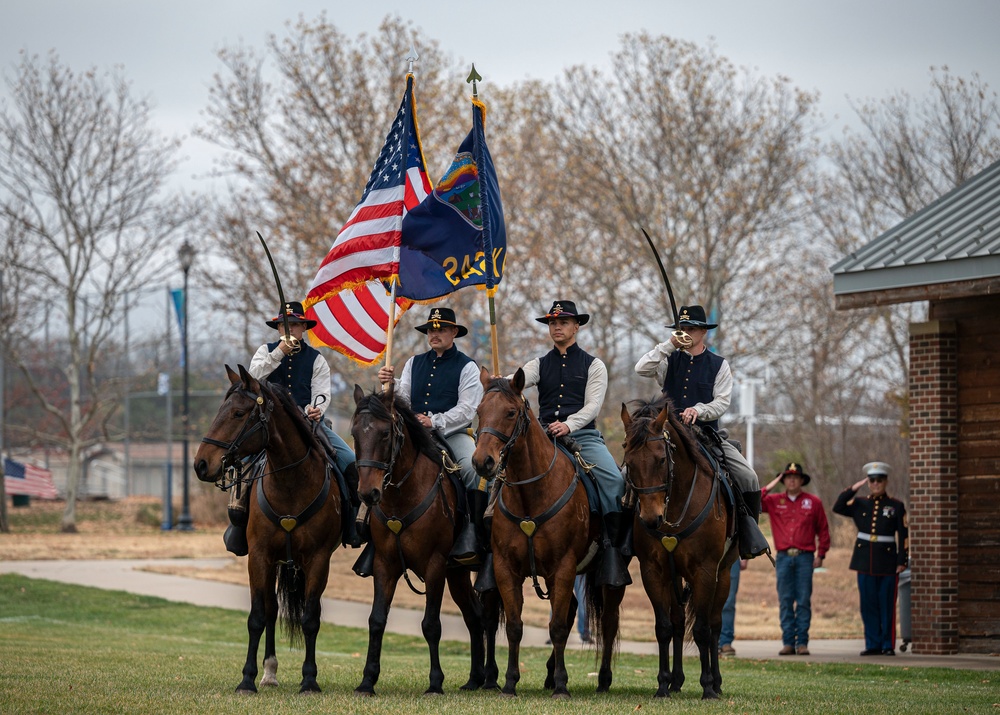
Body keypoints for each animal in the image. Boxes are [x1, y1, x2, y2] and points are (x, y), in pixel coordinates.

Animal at [193, 366, 346, 692]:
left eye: (238, 413)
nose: (201, 464)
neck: (291, 483)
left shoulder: (318, 560)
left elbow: (310, 618)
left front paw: (309, 679)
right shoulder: (259, 556)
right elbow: (257, 616)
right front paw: (247, 679)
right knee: (272, 610)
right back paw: (270, 671)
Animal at [352, 384, 496, 696]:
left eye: (385, 433)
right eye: (355, 433)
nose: (368, 493)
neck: (403, 495)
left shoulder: (434, 566)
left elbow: (431, 624)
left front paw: (435, 683)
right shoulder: (385, 564)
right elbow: (376, 619)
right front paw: (367, 680)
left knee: (490, 620)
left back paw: (491, 678)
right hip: (458, 575)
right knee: (475, 617)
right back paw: (474, 678)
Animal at [470, 370, 624, 700]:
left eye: (510, 412)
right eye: (479, 410)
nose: (482, 462)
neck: (532, 494)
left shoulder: (562, 568)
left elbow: (557, 628)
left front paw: (563, 686)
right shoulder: (505, 569)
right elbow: (515, 626)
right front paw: (511, 683)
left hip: (607, 578)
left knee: (608, 621)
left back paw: (602, 678)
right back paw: (551, 674)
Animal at [620, 394, 740, 704]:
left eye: (661, 459)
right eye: (630, 462)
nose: (651, 519)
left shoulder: (705, 571)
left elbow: (702, 630)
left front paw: (708, 686)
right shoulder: (654, 571)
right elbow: (664, 627)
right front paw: (663, 684)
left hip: (724, 574)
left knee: (714, 625)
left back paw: (717, 682)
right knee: (677, 622)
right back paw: (676, 681)